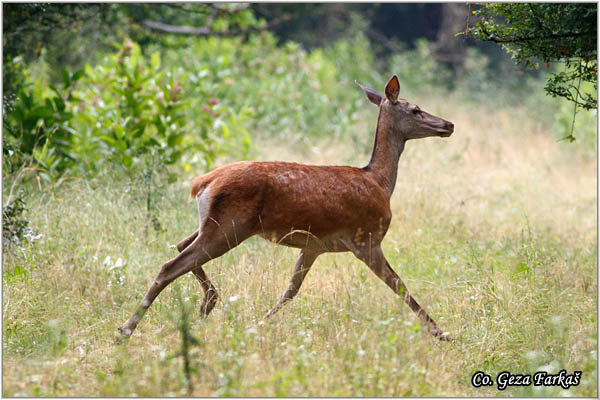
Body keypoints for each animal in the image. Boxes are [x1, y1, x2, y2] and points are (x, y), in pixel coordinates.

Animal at [118, 75, 454, 340]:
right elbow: (400, 286)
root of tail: (203, 182)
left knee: (179, 245)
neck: (380, 182)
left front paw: (259, 324)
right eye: (415, 109)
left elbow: (291, 289)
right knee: (171, 265)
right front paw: (442, 334)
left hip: (213, 223)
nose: (448, 124)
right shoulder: (366, 239)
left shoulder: (315, 245)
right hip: (230, 226)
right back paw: (126, 329)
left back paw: (208, 302)